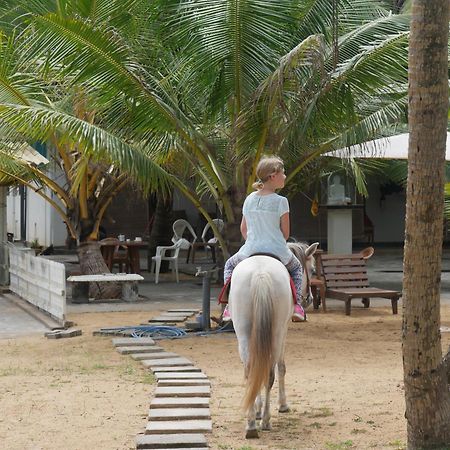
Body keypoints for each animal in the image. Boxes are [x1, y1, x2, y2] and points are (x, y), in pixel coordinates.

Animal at [229, 241, 320, 438]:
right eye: (313, 270)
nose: (309, 298)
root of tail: (260, 275)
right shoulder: (284, 330)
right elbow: (282, 367)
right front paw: (282, 405)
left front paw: (256, 410)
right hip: (277, 333)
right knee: (270, 373)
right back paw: (265, 421)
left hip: (244, 333)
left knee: (251, 372)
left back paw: (251, 425)